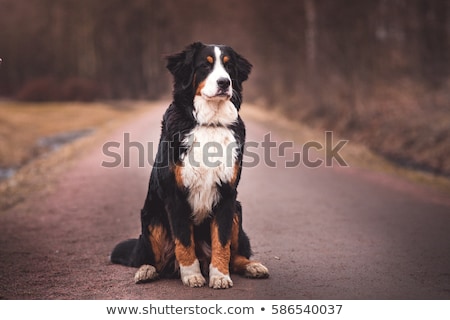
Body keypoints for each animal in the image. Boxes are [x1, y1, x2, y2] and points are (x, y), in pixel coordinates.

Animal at [110, 41, 268, 288]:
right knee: (154, 260)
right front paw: (192, 275)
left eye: (229, 66)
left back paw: (253, 266)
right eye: (205, 65)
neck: (210, 123)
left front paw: (219, 276)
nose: (224, 83)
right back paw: (146, 271)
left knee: (236, 256)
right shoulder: (175, 194)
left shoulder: (227, 194)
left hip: (237, 210)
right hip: (152, 218)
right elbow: (184, 242)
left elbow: (222, 242)